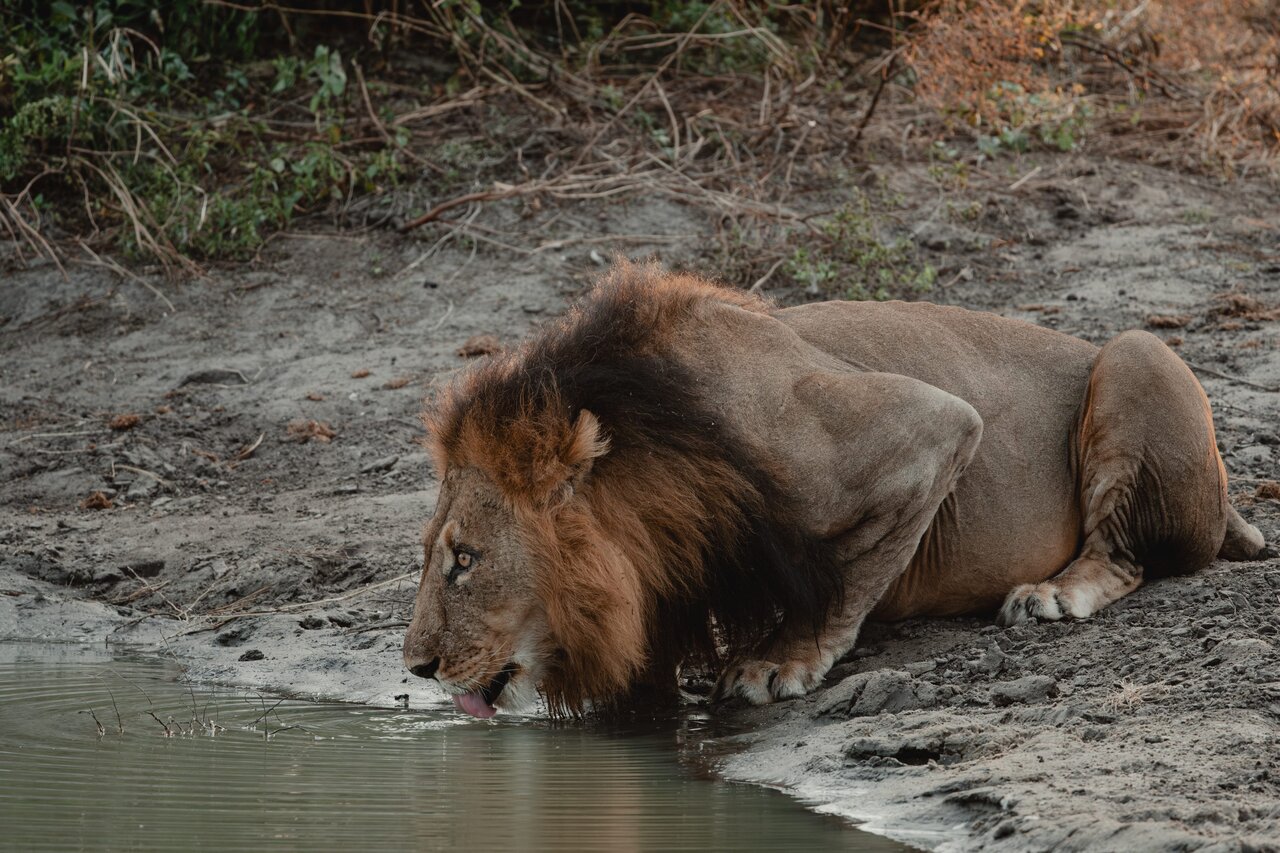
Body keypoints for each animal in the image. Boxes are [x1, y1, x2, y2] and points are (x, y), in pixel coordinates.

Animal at [403, 261, 1265, 717]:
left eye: (465, 559)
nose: (415, 667)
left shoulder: (927, 429)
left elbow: (847, 576)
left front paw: (776, 660)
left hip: (1134, 353)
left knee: (1123, 555)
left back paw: (1052, 593)